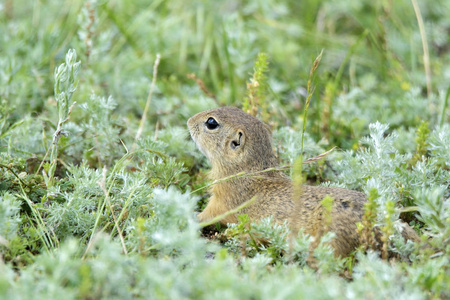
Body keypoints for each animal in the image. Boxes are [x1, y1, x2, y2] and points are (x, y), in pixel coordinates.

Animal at [187, 106, 418, 256]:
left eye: (211, 122)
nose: (189, 121)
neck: (249, 171)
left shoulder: (223, 201)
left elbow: (208, 215)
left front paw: (192, 216)